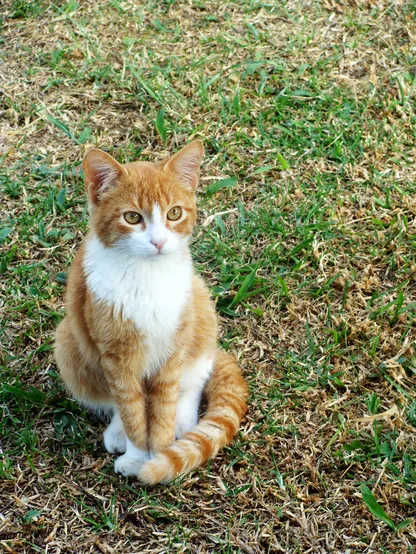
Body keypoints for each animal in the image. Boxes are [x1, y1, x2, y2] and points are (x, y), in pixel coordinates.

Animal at [54, 140, 247, 480]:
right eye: (132, 217)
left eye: (174, 213)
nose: (158, 242)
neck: (146, 277)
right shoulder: (117, 359)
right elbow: (130, 408)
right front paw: (136, 455)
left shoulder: (172, 351)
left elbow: (164, 406)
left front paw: (159, 457)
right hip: (69, 342)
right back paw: (118, 431)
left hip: (199, 307)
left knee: (195, 378)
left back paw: (183, 422)